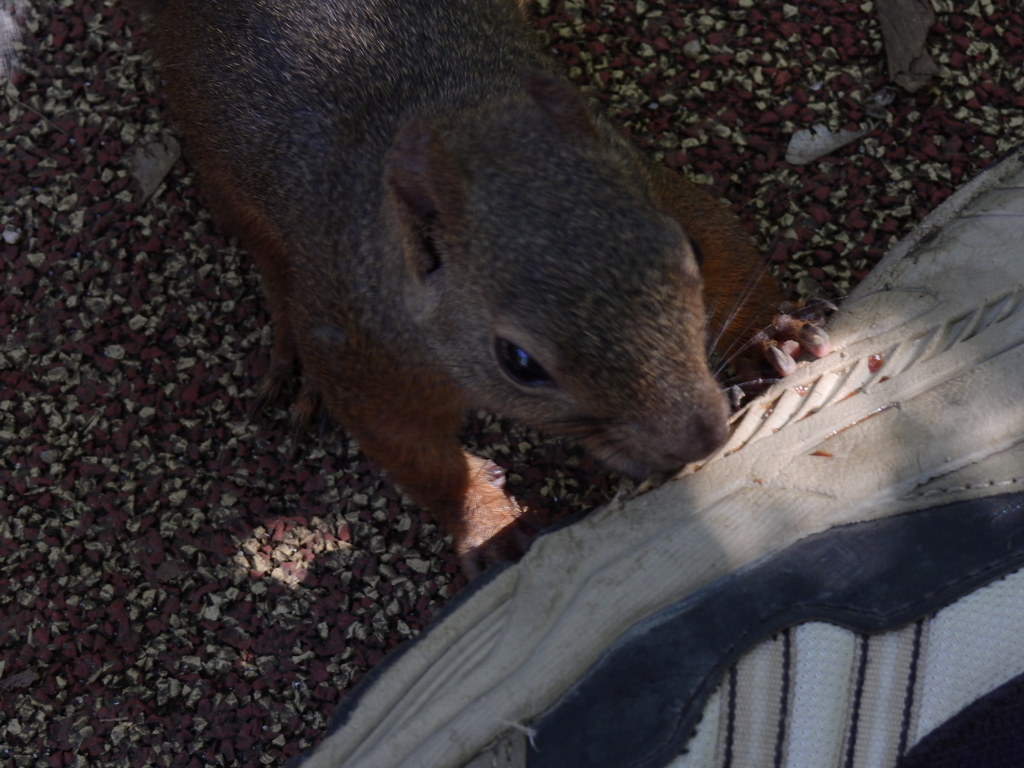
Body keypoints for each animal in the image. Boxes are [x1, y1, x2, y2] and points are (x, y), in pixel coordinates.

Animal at [142, 0, 798, 573]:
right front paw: (490, 524)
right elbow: (419, 459)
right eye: (519, 361)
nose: (702, 438)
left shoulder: (661, 188)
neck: (456, 113)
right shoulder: (359, 348)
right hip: (219, 164)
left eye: (687, 252)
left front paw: (769, 341)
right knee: (266, 256)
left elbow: (733, 260)